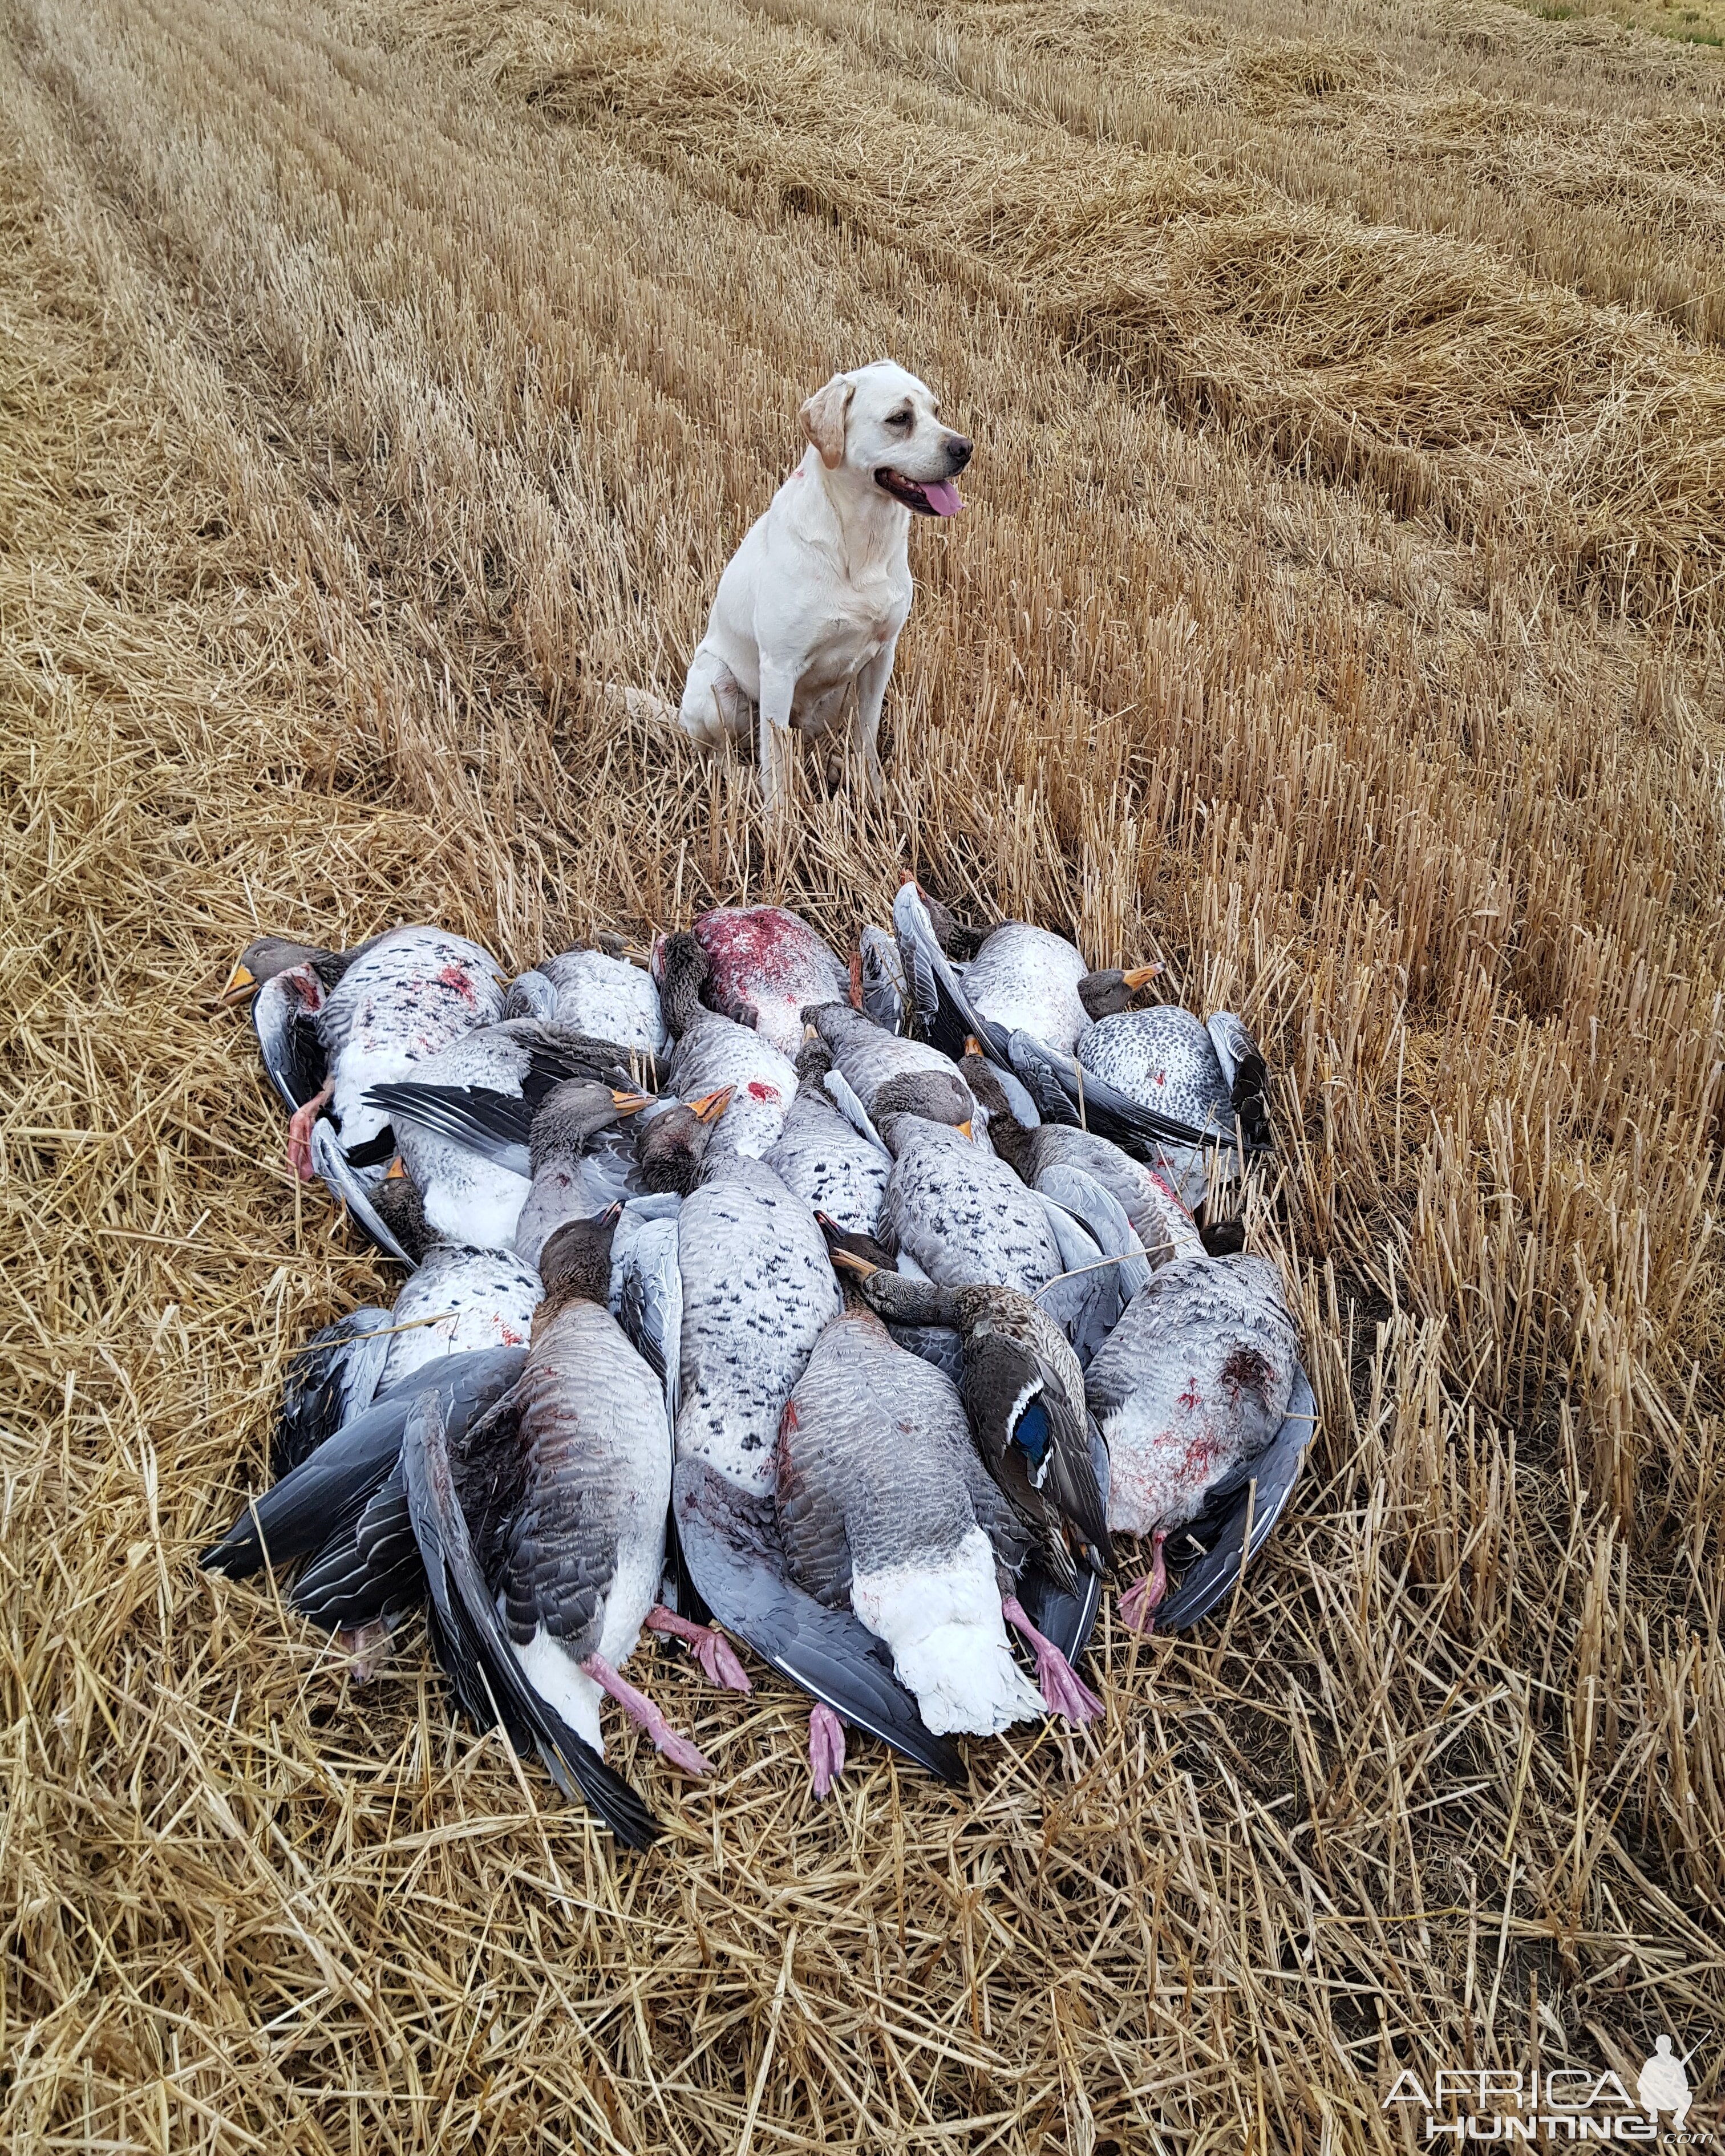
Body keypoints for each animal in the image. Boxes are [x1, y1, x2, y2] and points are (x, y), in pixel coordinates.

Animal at [673, 362, 970, 814]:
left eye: (936, 411)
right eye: (900, 418)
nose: (965, 448)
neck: (862, 546)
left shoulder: (882, 656)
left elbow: (867, 734)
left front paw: (871, 791)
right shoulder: (779, 667)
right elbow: (776, 760)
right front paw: (779, 822)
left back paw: (833, 767)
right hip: (716, 686)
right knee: (718, 755)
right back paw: (742, 782)